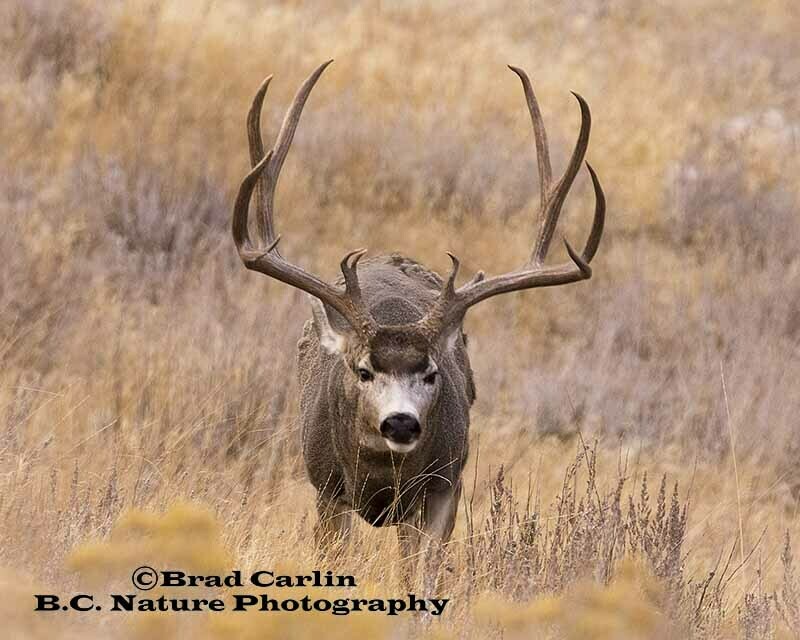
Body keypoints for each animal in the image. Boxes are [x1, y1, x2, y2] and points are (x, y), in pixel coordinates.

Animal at [232, 60, 605, 586]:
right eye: (363, 370)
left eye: (431, 373)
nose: (402, 422)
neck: (381, 475)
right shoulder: (326, 487)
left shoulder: (443, 487)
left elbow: (421, 574)